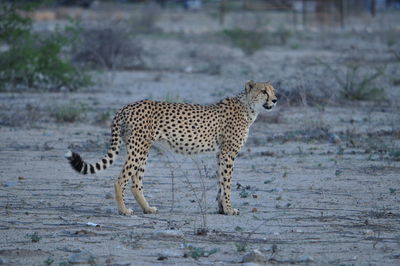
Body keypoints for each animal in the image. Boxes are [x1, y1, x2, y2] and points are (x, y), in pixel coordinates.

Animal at [65, 80, 278, 216]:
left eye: (273, 90)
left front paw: (221, 209)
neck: (248, 107)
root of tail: (126, 106)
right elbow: (227, 183)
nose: (275, 100)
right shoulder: (228, 153)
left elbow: (220, 182)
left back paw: (147, 208)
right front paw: (229, 209)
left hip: (142, 149)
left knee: (136, 182)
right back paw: (124, 210)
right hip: (138, 148)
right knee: (121, 180)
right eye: (263, 91)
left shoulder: (220, 154)